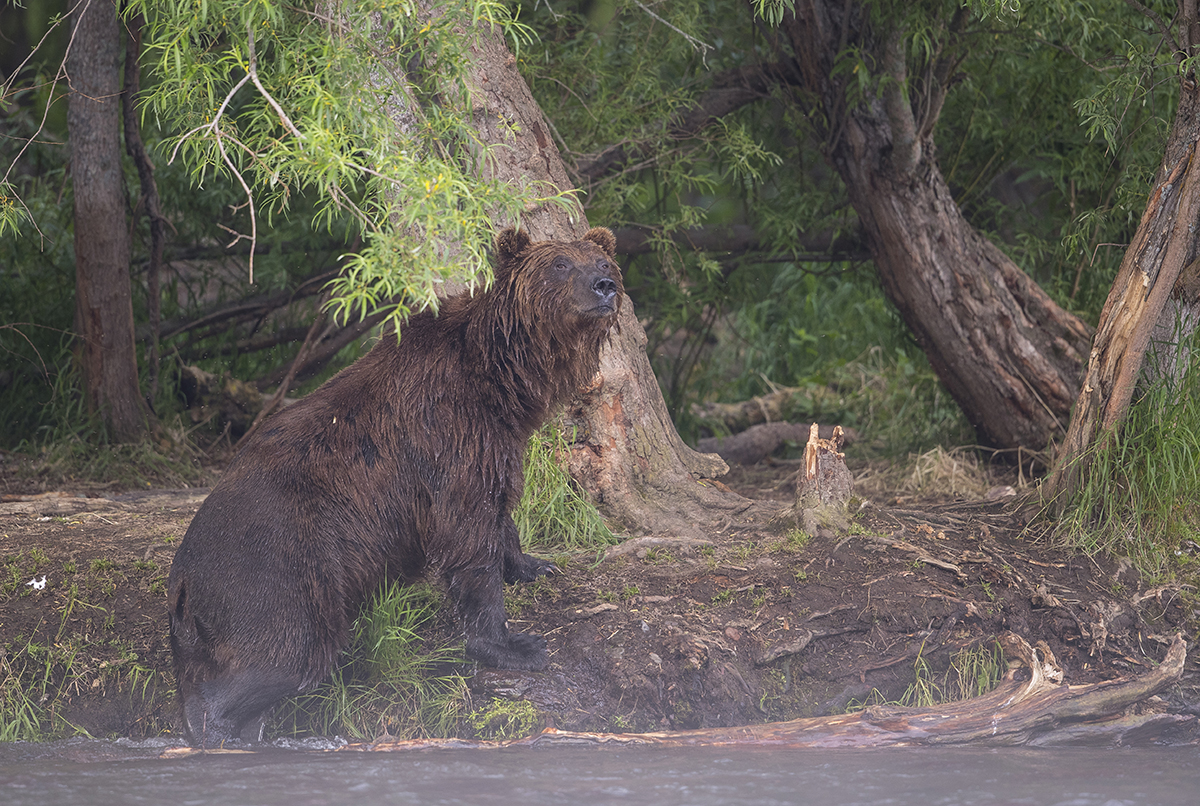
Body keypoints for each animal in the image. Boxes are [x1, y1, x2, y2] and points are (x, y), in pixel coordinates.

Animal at [168, 223, 624, 748]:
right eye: (560, 265)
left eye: (602, 261)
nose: (604, 286)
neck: (501, 379)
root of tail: (182, 582)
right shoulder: (448, 434)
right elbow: (467, 534)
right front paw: (515, 645)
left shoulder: (495, 441)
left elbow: (498, 508)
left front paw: (533, 565)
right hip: (276, 577)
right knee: (284, 656)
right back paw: (220, 726)